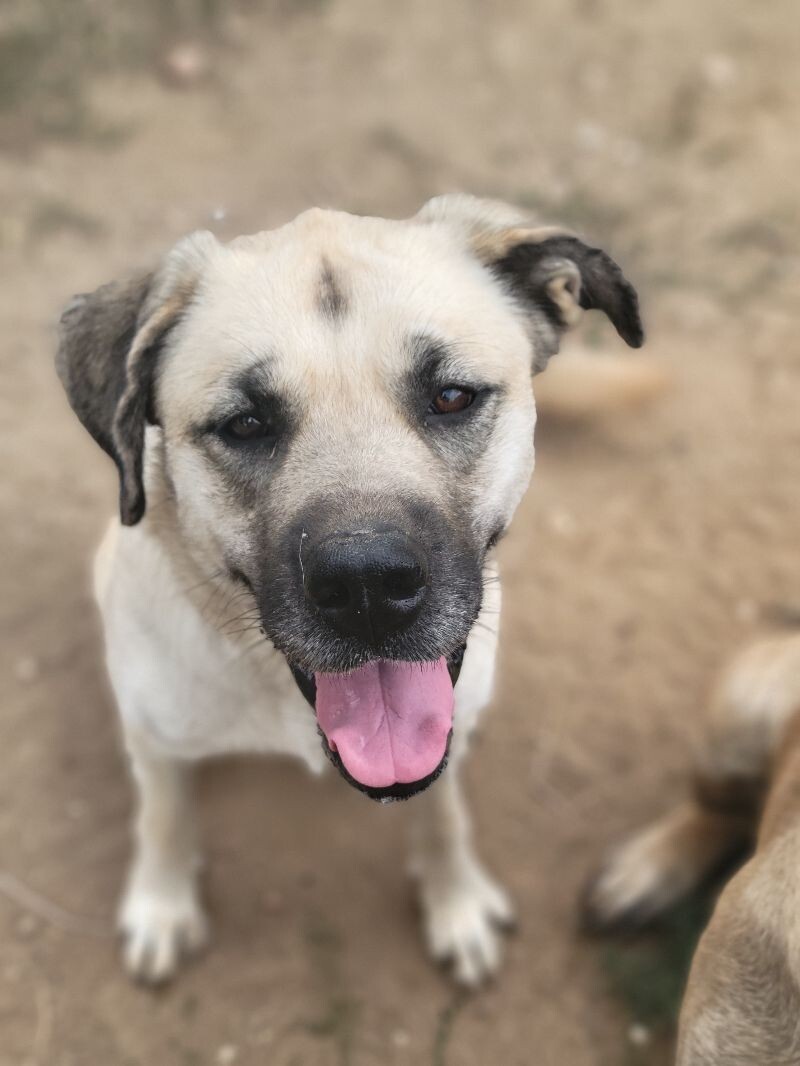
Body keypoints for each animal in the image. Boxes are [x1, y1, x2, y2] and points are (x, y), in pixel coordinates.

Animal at [56, 196, 644, 984]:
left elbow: (443, 816)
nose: (368, 587)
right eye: (245, 423)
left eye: (451, 396)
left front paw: (456, 901)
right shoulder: (155, 737)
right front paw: (161, 903)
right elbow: (163, 818)